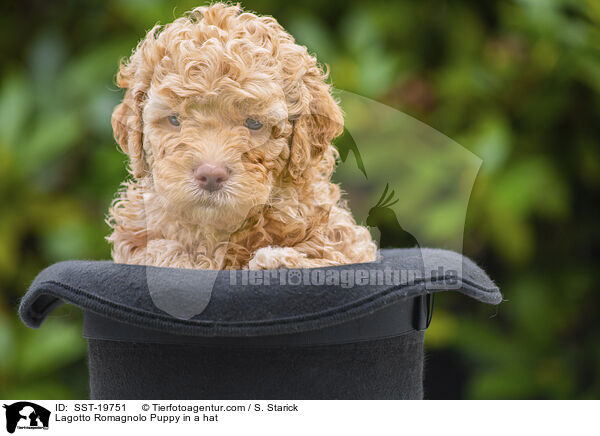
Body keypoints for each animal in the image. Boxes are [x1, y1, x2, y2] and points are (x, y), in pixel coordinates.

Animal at [103, 4, 376, 270]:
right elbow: (158, 250)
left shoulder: (346, 245)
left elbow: (322, 257)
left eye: (254, 123)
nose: (211, 175)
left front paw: (276, 259)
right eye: (174, 120)